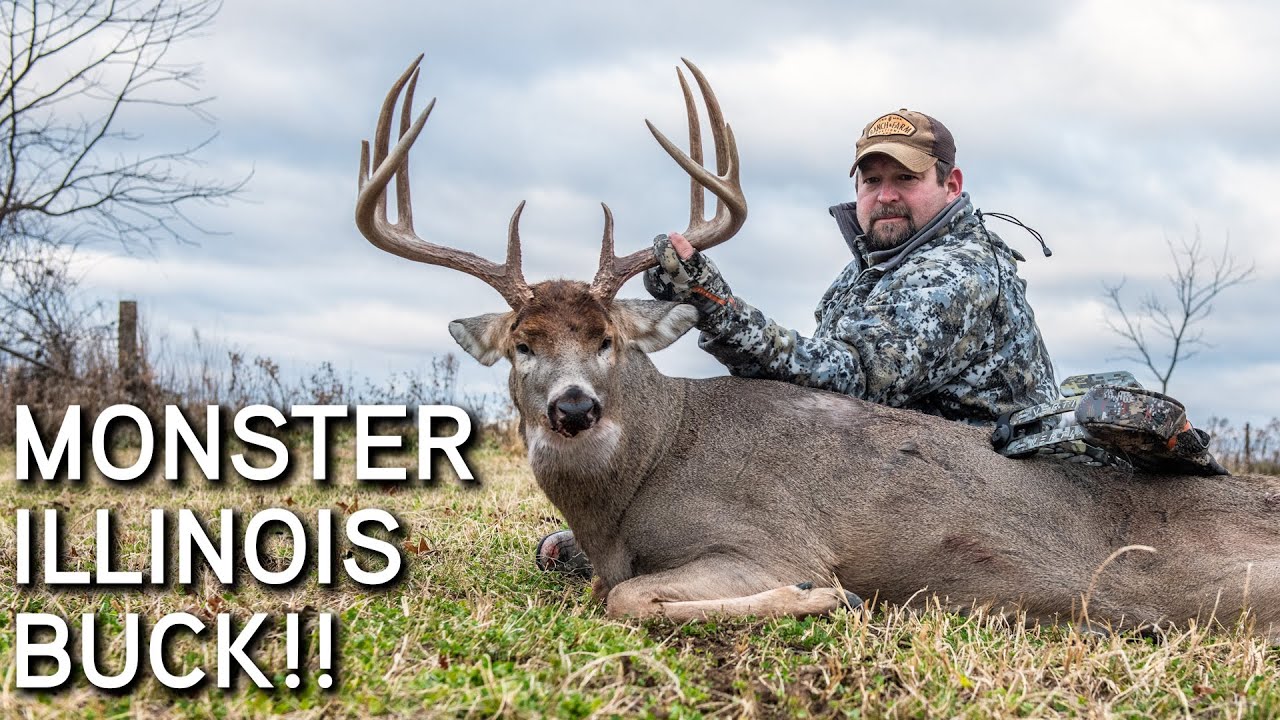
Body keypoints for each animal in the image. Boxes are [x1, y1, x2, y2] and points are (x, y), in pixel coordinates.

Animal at [355, 55, 1280, 639]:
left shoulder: (765, 538)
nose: (573, 408)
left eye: (608, 338)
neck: (639, 479)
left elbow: (623, 600)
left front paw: (821, 600)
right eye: (523, 344)